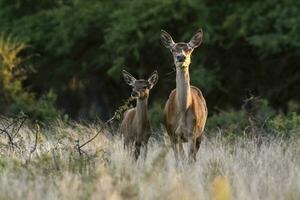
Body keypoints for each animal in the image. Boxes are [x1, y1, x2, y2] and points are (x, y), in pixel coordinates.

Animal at [161, 29, 207, 161]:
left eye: (189, 49)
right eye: (172, 49)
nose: (181, 57)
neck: (182, 110)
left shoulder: (192, 133)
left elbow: (189, 159)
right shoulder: (173, 134)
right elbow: (179, 159)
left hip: (200, 132)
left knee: (193, 157)